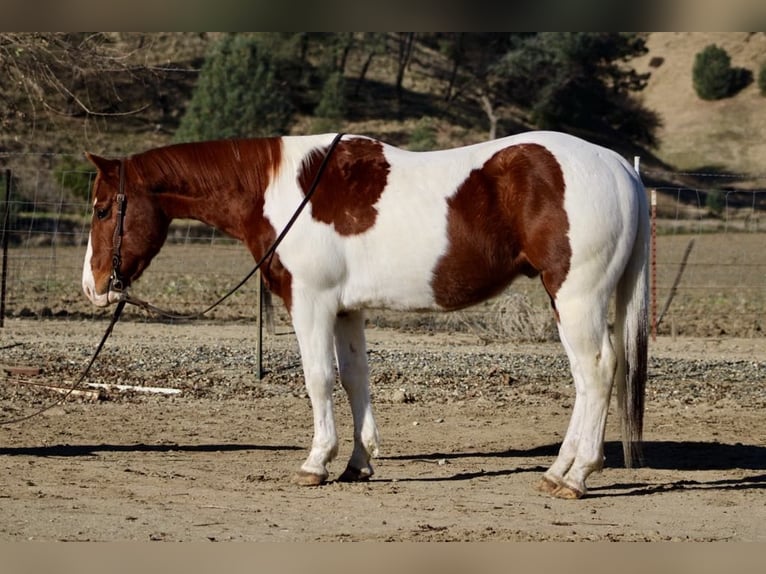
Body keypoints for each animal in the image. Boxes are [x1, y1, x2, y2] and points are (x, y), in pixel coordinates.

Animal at [82, 132, 648, 500]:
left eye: (104, 208)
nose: (93, 286)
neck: (281, 191)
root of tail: (622, 169)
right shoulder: (345, 309)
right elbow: (355, 378)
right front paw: (359, 462)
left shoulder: (310, 302)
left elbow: (318, 378)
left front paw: (316, 463)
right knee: (588, 379)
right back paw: (558, 471)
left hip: (576, 298)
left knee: (596, 372)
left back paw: (576, 476)